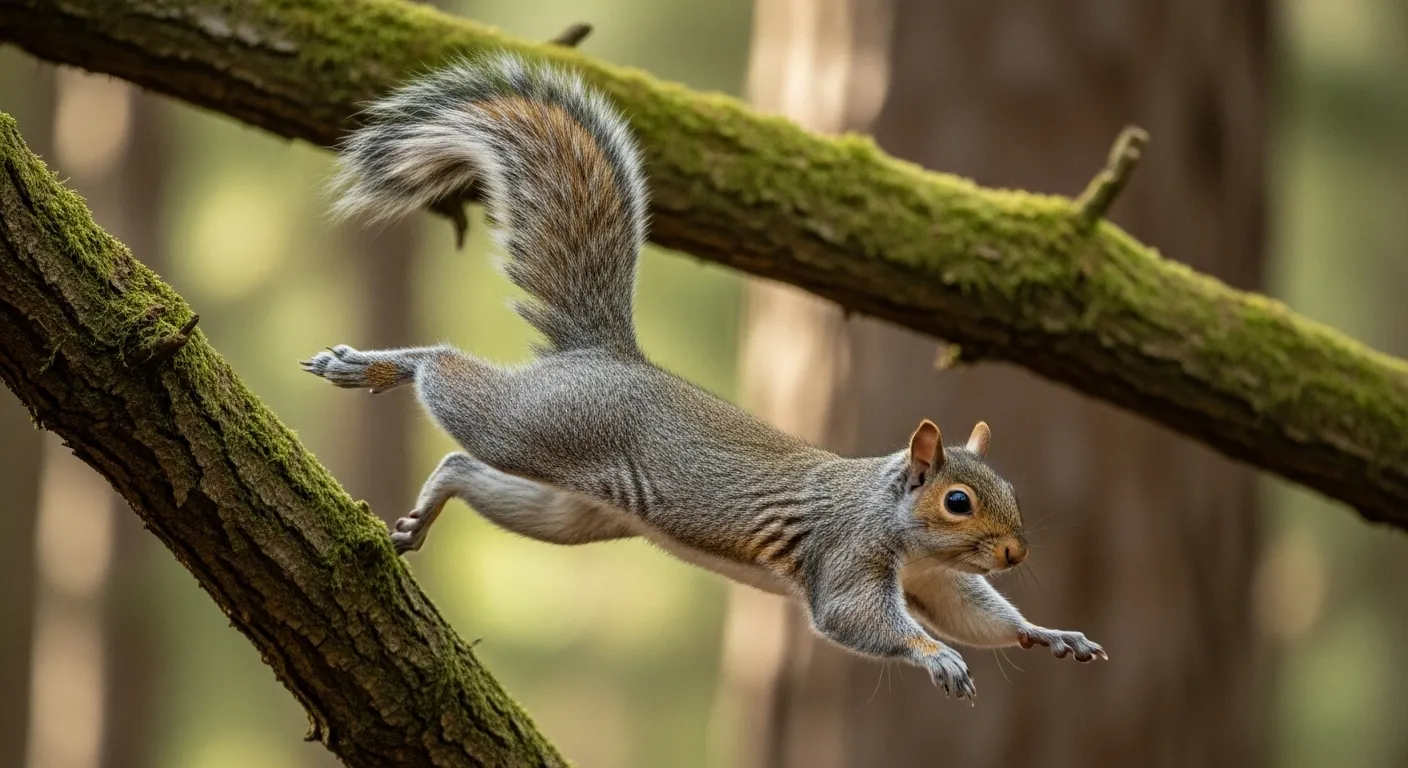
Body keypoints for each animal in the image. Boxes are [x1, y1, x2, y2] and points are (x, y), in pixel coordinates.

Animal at [302, 53, 1106, 701]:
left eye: (1009, 490)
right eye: (958, 502)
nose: (1016, 553)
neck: (898, 526)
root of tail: (608, 357)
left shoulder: (936, 583)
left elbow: (981, 615)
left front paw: (1049, 634)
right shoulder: (847, 554)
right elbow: (856, 619)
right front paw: (932, 654)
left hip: (572, 512)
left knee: (462, 466)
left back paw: (427, 502)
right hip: (537, 425)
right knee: (451, 381)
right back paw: (376, 365)